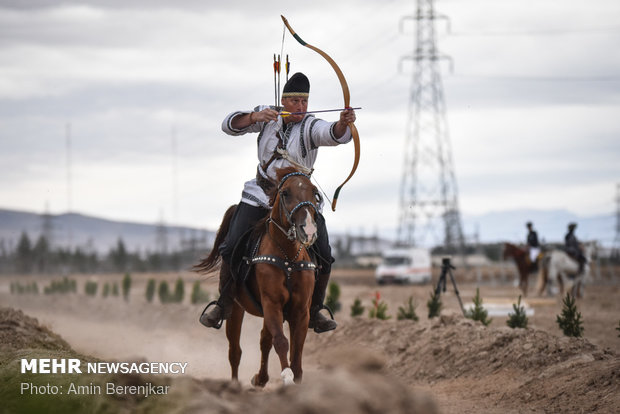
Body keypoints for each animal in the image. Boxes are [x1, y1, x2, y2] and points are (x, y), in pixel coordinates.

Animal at [194, 167, 320, 386]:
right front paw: (287, 377)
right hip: (235, 309)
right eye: (285, 193)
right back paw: (236, 384)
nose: (309, 230)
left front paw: (294, 377)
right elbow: (281, 341)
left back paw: (261, 378)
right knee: (235, 351)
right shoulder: (272, 303)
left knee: (263, 340)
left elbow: (297, 349)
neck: (288, 256)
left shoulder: (301, 310)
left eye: (314, 192)